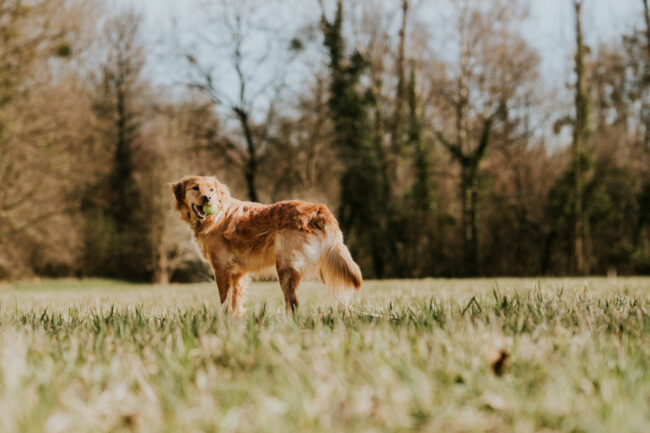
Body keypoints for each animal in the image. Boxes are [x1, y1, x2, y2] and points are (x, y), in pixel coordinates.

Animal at [170, 175, 362, 314]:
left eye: (211, 189)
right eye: (195, 187)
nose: (207, 198)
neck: (216, 215)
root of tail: (317, 209)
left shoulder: (221, 269)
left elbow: (225, 301)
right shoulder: (237, 274)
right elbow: (235, 304)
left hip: (285, 269)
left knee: (293, 304)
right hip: (323, 266)